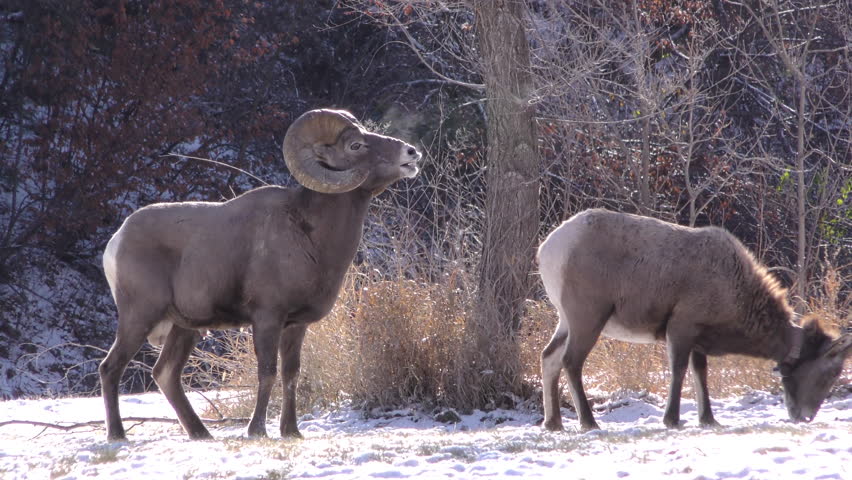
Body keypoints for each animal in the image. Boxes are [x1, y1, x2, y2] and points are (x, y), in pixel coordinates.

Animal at [99, 109, 421, 441]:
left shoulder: (296, 325)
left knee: (165, 374)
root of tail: (117, 240)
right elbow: (267, 372)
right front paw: (257, 431)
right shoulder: (267, 318)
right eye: (355, 145)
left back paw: (202, 434)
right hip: (139, 317)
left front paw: (291, 432)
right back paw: (118, 436)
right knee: (110, 368)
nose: (411, 153)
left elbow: (292, 374)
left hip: (184, 328)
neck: (309, 235)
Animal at [538, 208, 852, 431]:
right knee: (571, 361)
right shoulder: (682, 325)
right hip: (588, 314)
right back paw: (588, 422)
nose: (806, 416)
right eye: (831, 372)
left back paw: (553, 423)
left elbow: (700, 372)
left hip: (565, 319)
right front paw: (672, 419)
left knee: (549, 356)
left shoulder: (699, 337)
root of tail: (546, 251)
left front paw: (708, 418)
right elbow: (678, 370)